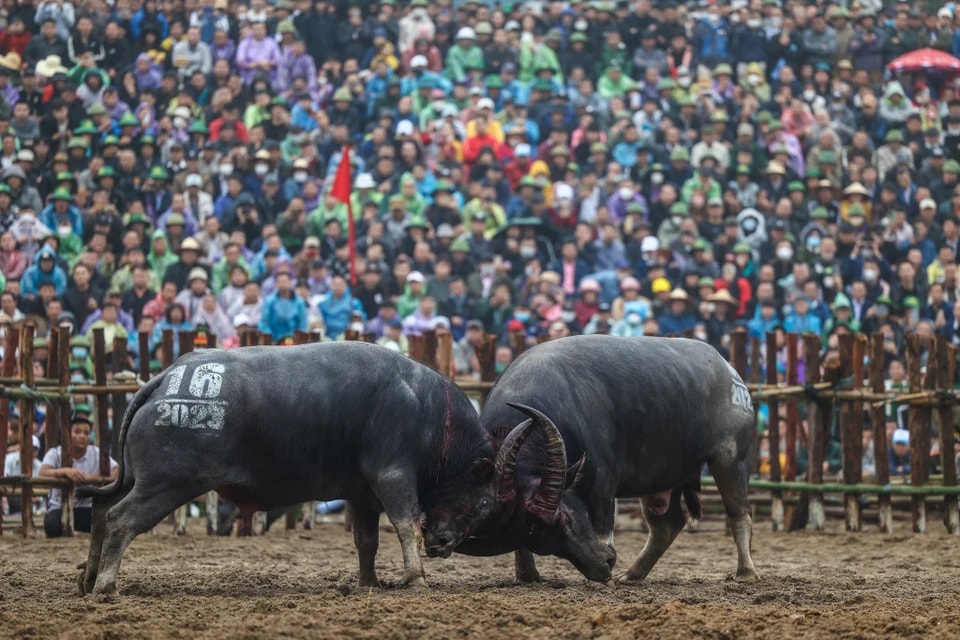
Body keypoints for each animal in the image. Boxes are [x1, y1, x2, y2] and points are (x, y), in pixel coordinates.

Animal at [77, 340, 556, 596]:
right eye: (484, 502)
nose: (441, 543)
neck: (430, 414)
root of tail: (164, 380)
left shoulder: (362, 495)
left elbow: (366, 541)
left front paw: (369, 582)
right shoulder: (393, 477)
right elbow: (405, 524)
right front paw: (415, 576)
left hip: (140, 480)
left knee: (100, 510)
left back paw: (88, 578)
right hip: (167, 484)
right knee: (120, 518)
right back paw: (106, 585)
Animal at [436, 336, 756, 584]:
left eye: (565, 517)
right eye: (535, 532)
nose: (605, 564)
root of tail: (730, 372)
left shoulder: (602, 481)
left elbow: (603, 528)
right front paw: (527, 575)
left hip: (730, 459)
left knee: (739, 513)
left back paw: (746, 572)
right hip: (660, 480)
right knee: (667, 524)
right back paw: (633, 575)